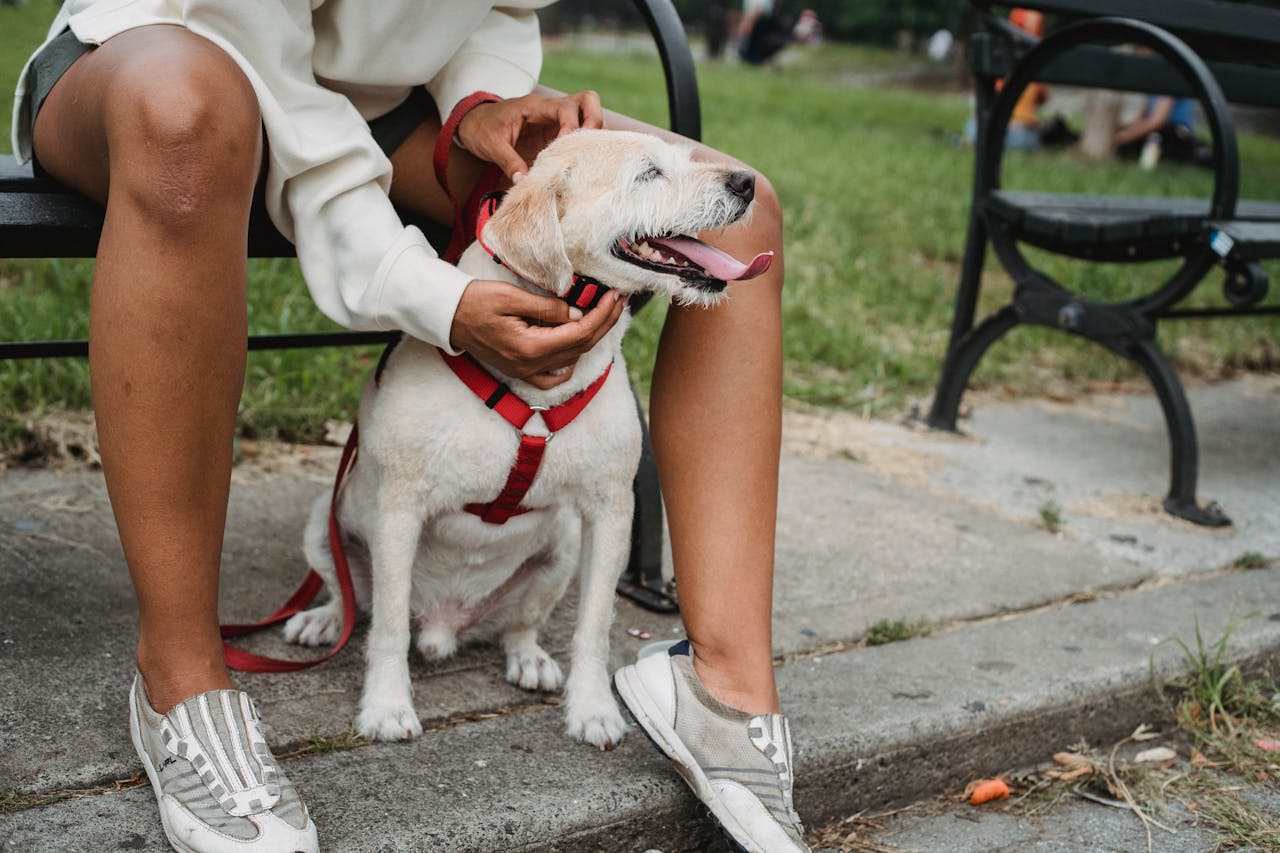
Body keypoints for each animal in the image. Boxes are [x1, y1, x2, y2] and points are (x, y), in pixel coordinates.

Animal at [282, 126, 768, 742]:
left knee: (520, 625)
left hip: (559, 553)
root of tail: (443, 624)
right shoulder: (398, 510)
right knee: (350, 600)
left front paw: (592, 708)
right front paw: (387, 706)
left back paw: (530, 658)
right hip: (324, 525)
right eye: (647, 173)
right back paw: (323, 621)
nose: (746, 182)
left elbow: (594, 625)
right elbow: (387, 626)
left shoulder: (609, 512)